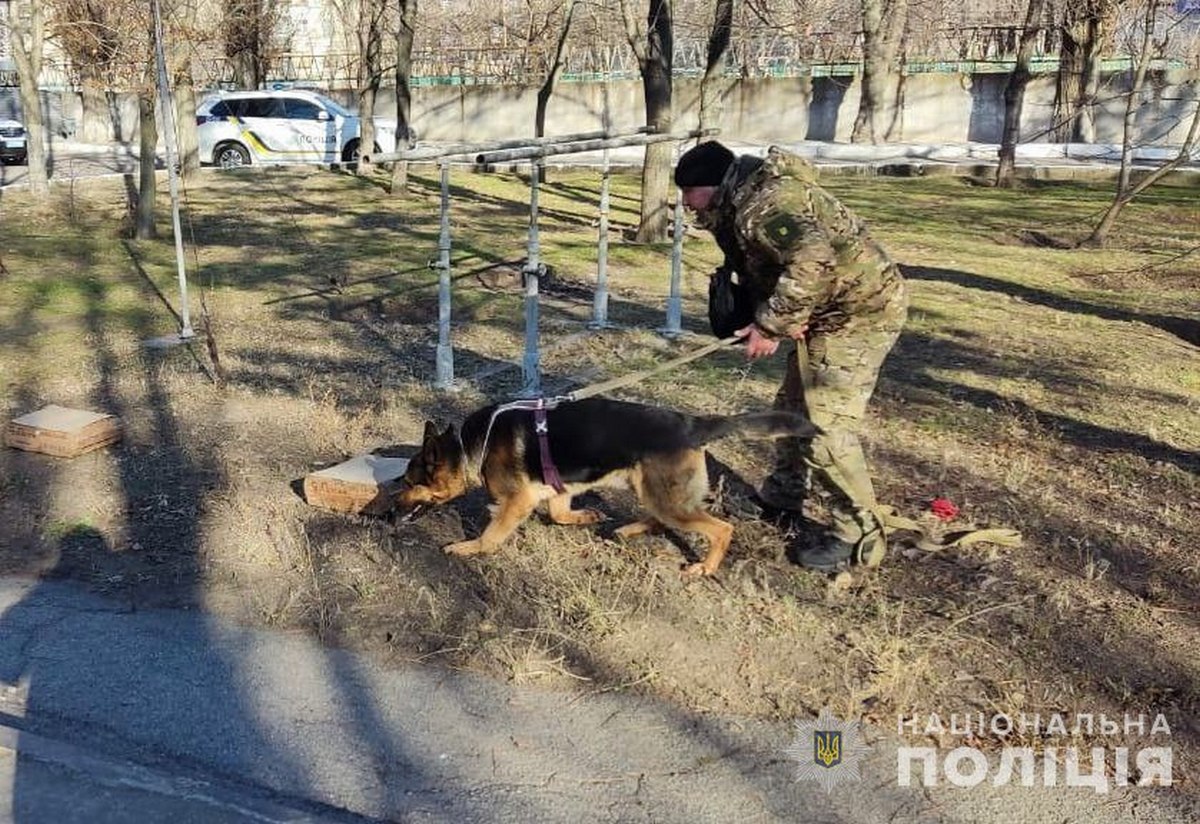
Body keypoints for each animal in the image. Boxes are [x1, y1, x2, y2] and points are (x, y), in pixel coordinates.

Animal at [393, 398, 816, 578]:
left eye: (409, 482)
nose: (392, 506)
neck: (469, 446)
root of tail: (693, 423)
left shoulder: (518, 501)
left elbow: (491, 534)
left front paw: (468, 548)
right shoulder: (556, 490)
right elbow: (560, 515)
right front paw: (586, 516)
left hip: (664, 498)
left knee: (721, 528)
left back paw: (705, 567)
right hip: (653, 491)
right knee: (662, 520)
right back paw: (624, 529)